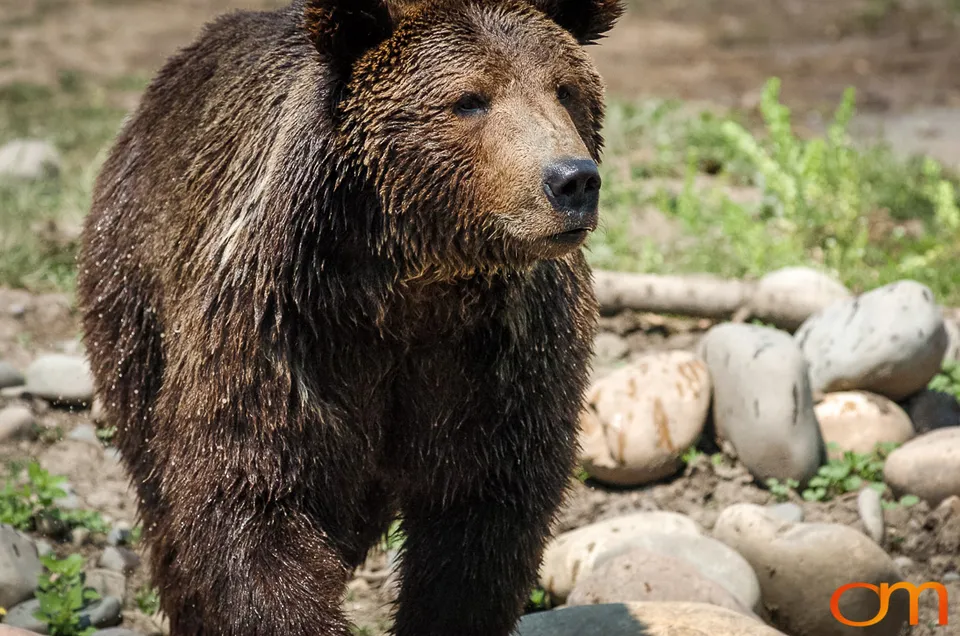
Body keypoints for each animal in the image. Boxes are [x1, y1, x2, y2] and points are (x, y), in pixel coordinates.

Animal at [76, 0, 622, 634]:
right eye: (470, 99)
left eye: (565, 90)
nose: (572, 180)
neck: (413, 284)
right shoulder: (285, 333)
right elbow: (253, 503)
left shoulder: (503, 356)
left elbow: (482, 524)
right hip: (135, 287)